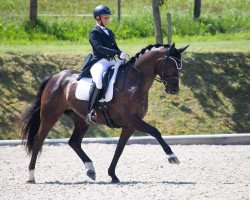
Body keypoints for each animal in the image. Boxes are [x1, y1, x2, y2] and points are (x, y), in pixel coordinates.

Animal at [21, 43, 188, 184]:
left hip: (81, 120)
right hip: (50, 116)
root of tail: (55, 77)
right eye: (171, 64)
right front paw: (172, 157)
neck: (134, 83)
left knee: (74, 142)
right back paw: (31, 175)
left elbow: (119, 149)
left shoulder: (129, 125)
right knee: (38, 141)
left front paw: (112, 175)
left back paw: (90, 169)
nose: (174, 89)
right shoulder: (132, 120)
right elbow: (155, 131)